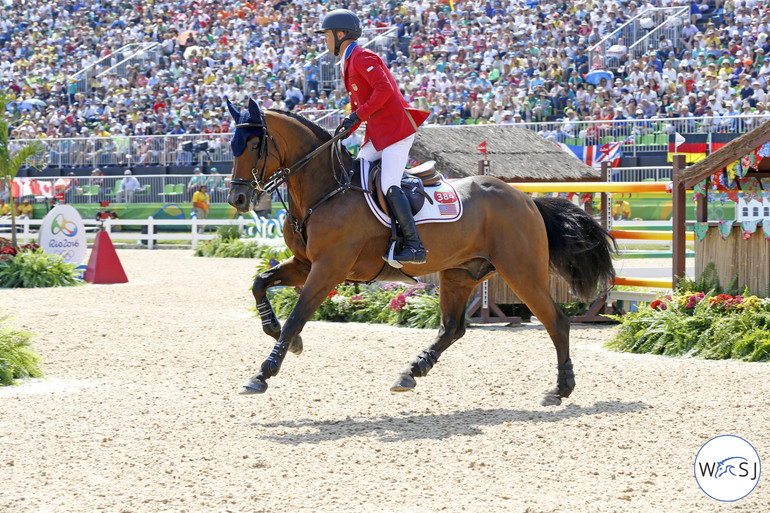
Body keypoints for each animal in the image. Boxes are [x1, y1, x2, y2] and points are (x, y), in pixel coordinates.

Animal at [226, 99, 612, 404]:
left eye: (256, 143)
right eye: (232, 145)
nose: (238, 198)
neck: (326, 189)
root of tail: (526, 199)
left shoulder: (329, 268)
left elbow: (297, 315)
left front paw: (263, 372)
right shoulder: (306, 263)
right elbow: (260, 284)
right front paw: (282, 336)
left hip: (521, 271)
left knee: (556, 321)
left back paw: (560, 389)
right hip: (460, 273)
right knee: (453, 328)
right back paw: (412, 371)